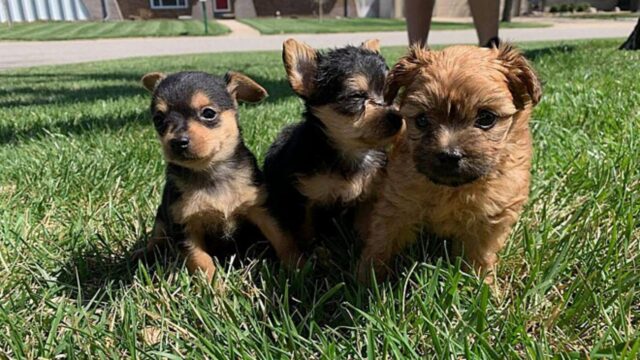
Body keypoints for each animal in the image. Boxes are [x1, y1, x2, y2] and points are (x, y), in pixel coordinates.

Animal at [134, 69, 302, 278]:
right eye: (158, 120)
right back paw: (144, 253)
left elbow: (283, 240)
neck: (211, 172)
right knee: (158, 235)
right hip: (162, 214)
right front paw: (214, 285)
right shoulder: (184, 226)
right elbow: (201, 261)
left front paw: (299, 269)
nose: (177, 142)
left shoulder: (263, 209)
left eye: (208, 113)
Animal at [262, 39, 402, 253]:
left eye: (392, 94)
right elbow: (306, 232)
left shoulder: (368, 196)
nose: (397, 117)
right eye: (356, 97)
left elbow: (365, 227)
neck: (352, 152)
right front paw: (314, 255)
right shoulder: (304, 200)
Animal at [358, 43, 544, 284]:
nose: (449, 155)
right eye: (422, 120)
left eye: (486, 118)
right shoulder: (397, 204)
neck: (451, 189)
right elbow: (382, 241)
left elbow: (479, 256)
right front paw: (365, 279)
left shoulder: (490, 218)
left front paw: (482, 285)